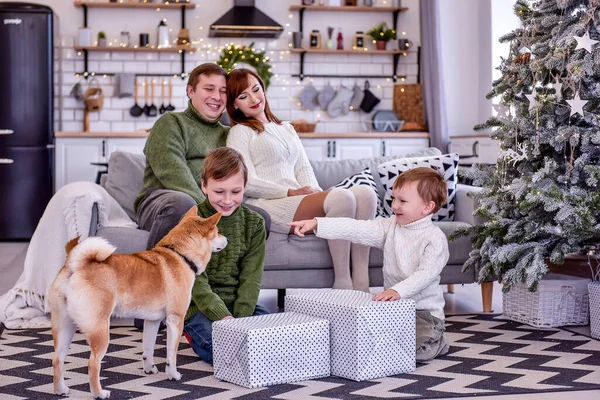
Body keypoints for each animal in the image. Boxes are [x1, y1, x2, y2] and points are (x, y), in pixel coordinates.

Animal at [48, 208, 227, 398]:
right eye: (217, 232)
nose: (227, 239)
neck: (181, 256)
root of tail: (75, 265)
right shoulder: (175, 320)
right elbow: (171, 355)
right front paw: (173, 375)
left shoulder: (152, 321)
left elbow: (148, 348)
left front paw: (149, 369)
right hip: (100, 329)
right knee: (92, 363)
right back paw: (99, 393)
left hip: (65, 326)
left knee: (57, 359)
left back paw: (61, 390)